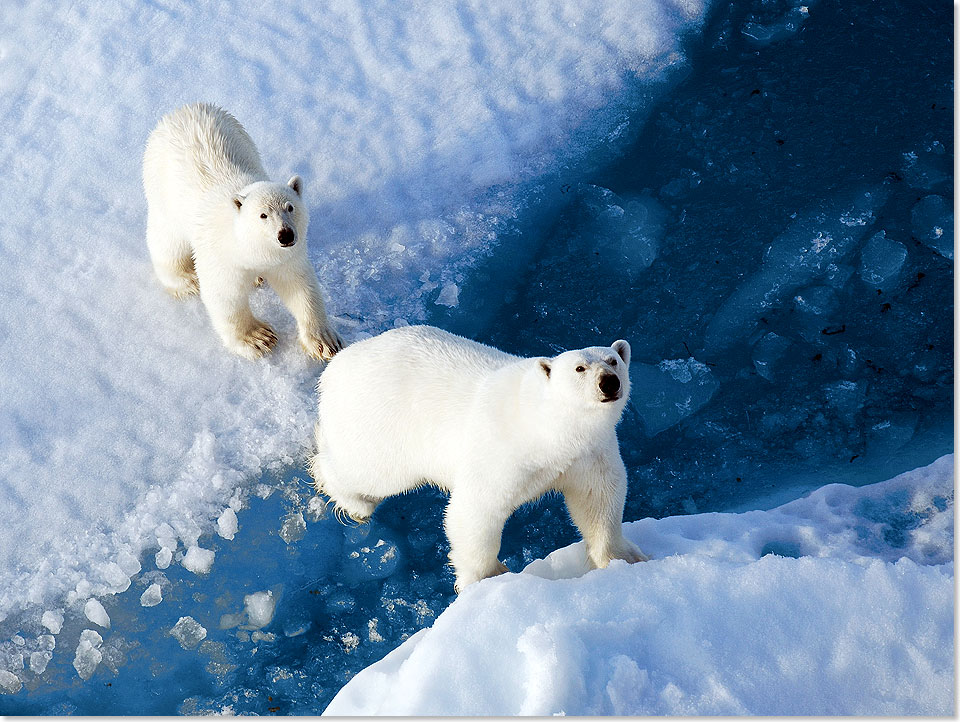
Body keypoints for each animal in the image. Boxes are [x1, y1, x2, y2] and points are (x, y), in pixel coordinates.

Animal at [141, 101, 340, 360]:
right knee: (167, 241)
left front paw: (324, 341)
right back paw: (185, 279)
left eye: (290, 207)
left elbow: (299, 286)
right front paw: (258, 338)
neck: (248, 247)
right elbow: (225, 295)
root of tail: (183, 109)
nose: (285, 235)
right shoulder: (221, 254)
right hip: (163, 192)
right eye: (263, 215)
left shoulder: (285, 257)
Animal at [312, 326, 648, 592]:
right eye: (579, 368)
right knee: (370, 473)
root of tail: (337, 367)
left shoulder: (589, 454)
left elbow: (598, 498)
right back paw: (354, 502)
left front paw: (623, 558)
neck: (547, 427)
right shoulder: (503, 452)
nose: (609, 382)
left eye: (613, 360)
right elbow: (475, 511)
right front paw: (487, 577)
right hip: (382, 425)